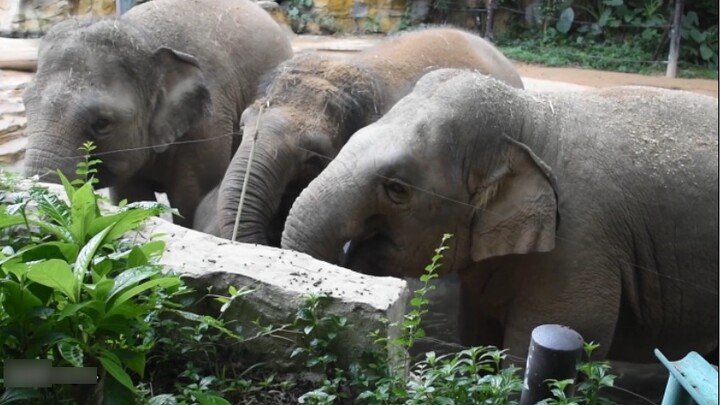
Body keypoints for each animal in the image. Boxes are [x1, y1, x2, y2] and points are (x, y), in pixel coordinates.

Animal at [23, 0, 292, 227]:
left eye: (102, 123)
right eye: (26, 105)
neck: (146, 40)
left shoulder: (209, 125)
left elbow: (190, 203)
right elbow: (130, 199)